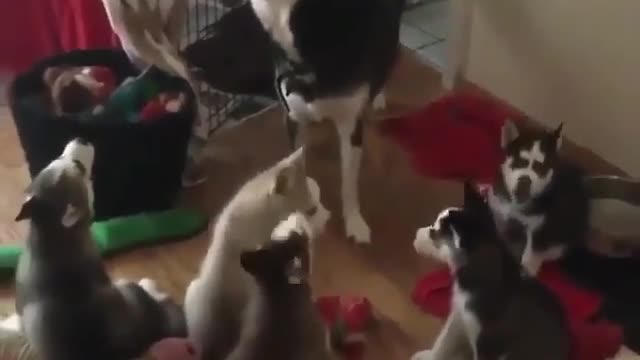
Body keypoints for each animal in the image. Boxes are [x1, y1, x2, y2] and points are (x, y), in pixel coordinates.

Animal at [490, 121, 592, 276]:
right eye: (519, 162)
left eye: (540, 168)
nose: (524, 181)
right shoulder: (501, 210)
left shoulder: (543, 226)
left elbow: (534, 249)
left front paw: (528, 266)